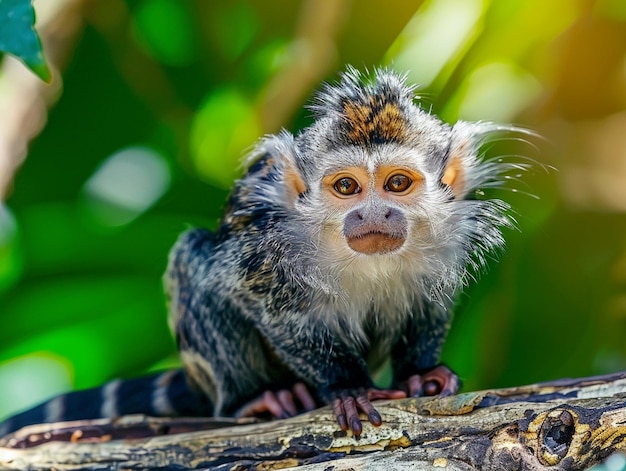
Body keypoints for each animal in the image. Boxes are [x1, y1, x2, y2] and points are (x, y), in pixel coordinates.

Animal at [0, 66, 520, 438]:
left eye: (397, 184)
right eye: (346, 187)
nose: (374, 214)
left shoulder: (448, 243)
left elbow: (430, 306)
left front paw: (420, 375)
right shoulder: (265, 254)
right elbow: (271, 313)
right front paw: (347, 386)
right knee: (191, 257)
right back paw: (258, 398)